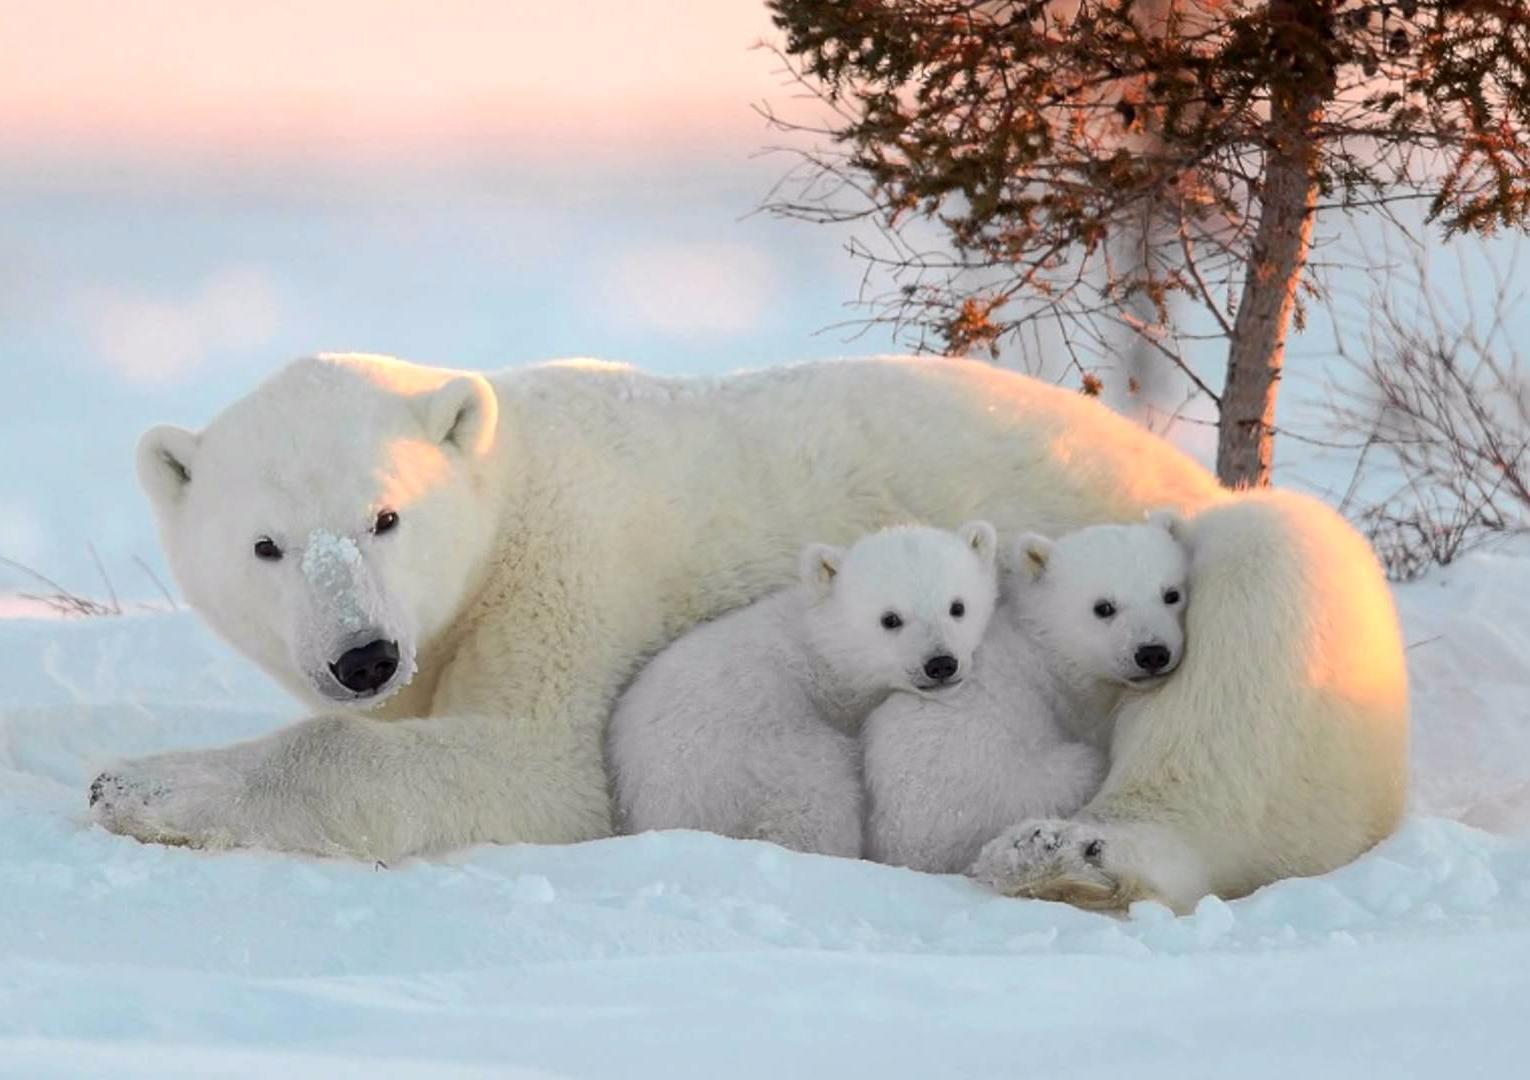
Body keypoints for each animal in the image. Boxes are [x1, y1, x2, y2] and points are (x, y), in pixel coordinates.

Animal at [98, 353, 1407, 905]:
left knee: (1274, 587)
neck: (513, 472)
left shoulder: (575, 566)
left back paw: (1073, 855)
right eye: (266, 546)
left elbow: (539, 769)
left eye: (386, 515)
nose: (362, 654)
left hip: (1215, 576)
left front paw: (144, 785)